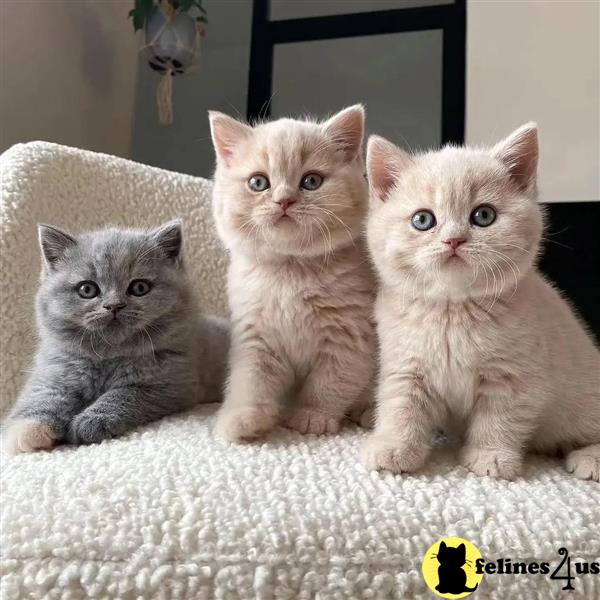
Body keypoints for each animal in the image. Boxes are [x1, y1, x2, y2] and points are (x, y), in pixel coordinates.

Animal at [3, 219, 229, 450]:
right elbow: (43, 395)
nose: (114, 305)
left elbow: (124, 395)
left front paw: (90, 422)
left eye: (139, 287)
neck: (108, 355)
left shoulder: (172, 384)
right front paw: (27, 431)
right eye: (87, 289)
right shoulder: (55, 370)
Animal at [209, 105, 372, 438]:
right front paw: (240, 418)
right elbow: (251, 380)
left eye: (311, 181)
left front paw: (311, 416)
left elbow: (330, 382)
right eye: (258, 183)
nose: (284, 200)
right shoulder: (255, 335)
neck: (291, 271)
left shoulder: (350, 337)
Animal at [360, 124, 600, 480]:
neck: (452, 310)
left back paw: (589, 458)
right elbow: (400, 407)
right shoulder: (406, 366)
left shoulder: (513, 375)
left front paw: (491, 457)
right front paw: (395, 448)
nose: (453, 240)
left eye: (483, 215)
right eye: (423, 220)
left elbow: (499, 418)